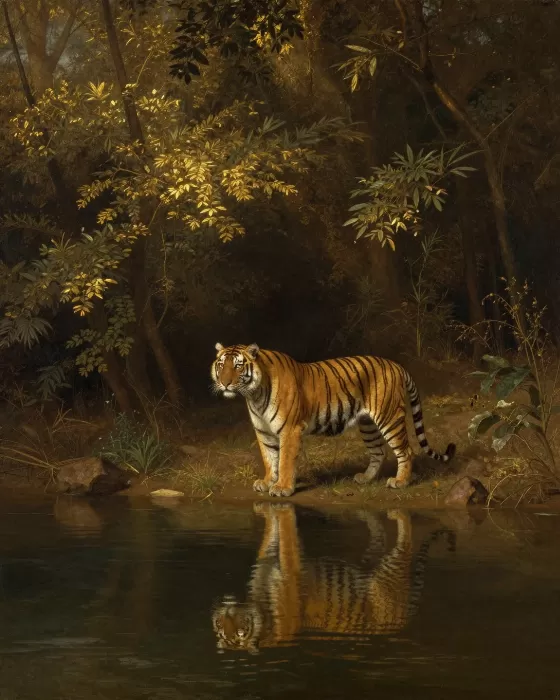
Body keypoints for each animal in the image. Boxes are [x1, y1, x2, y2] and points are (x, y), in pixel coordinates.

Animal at [211, 343, 456, 497]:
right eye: (221, 365)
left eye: (238, 365)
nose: (224, 383)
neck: (254, 395)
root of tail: (396, 365)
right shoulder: (264, 432)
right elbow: (270, 458)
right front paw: (268, 481)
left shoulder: (290, 430)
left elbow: (285, 460)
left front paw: (283, 487)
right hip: (368, 424)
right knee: (379, 451)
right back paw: (365, 478)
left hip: (389, 418)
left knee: (406, 450)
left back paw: (401, 482)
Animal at [211, 504, 456, 653]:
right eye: (221, 625)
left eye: (240, 629)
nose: (227, 610)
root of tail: (405, 618)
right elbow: (270, 538)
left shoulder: (287, 572)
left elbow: (287, 542)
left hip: (389, 572)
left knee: (406, 542)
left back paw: (396, 514)